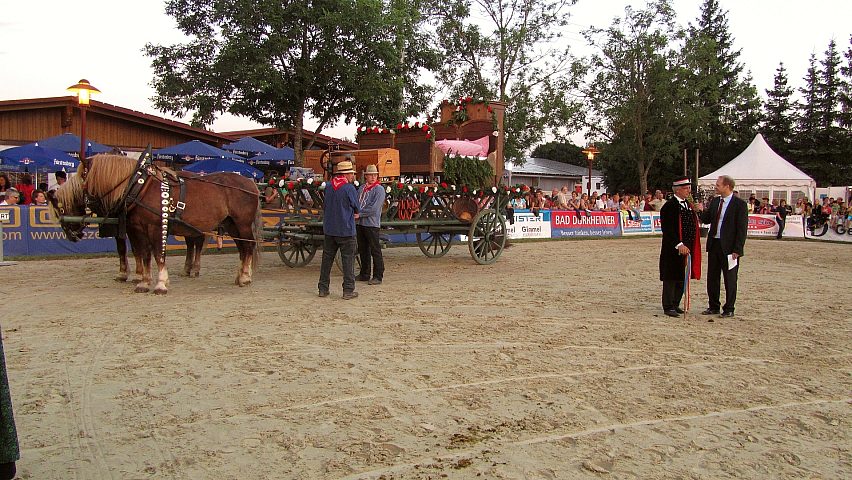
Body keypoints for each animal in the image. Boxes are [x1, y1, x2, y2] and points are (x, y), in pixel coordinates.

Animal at [47, 172, 208, 282]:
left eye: (60, 209)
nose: (72, 236)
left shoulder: (132, 227)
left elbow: (136, 249)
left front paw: (137, 274)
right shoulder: (122, 226)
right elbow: (122, 249)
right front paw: (124, 273)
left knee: (197, 242)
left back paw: (194, 269)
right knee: (191, 242)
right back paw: (188, 269)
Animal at [78, 156, 262, 294]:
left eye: (83, 179)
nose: (85, 207)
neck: (141, 187)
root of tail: (252, 185)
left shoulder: (156, 227)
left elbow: (159, 254)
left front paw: (160, 284)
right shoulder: (138, 229)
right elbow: (145, 254)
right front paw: (144, 283)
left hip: (243, 224)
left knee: (248, 246)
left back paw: (245, 277)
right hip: (231, 225)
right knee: (242, 249)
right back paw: (240, 276)